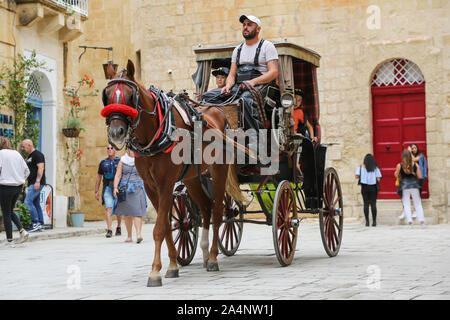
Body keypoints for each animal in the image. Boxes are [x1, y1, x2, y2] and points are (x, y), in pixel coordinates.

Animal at [100, 60, 244, 288]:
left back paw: (213, 258)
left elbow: (159, 228)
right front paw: (173, 264)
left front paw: (155, 272)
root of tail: (218, 111)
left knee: (218, 212)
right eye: (106, 95)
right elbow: (167, 225)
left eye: (130, 96)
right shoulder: (150, 186)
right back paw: (204, 254)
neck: (156, 131)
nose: (116, 133)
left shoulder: (166, 183)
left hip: (219, 169)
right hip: (192, 178)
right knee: (205, 208)